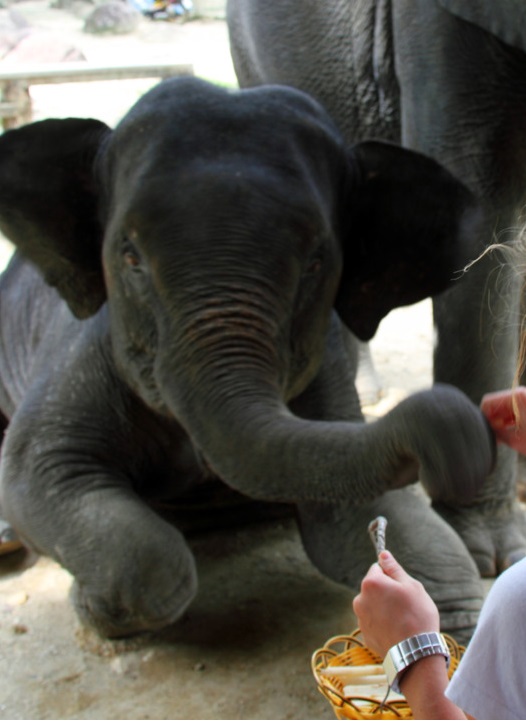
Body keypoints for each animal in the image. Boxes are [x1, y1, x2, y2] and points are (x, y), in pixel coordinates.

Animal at [0, 76, 495, 640]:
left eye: (315, 262)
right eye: (129, 257)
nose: (461, 429)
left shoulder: (326, 371)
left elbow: (350, 518)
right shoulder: (83, 352)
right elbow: (35, 473)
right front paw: (93, 608)